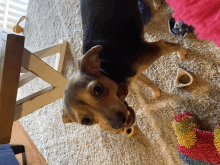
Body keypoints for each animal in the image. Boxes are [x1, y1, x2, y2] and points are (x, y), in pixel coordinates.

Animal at [62, 0, 187, 133]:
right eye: (86, 121)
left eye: (97, 89)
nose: (119, 125)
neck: (108, 69)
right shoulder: (134, 74)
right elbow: (148, 81)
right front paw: (156, 92)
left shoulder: (153, 49)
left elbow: (169, 44)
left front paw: (182, 52)